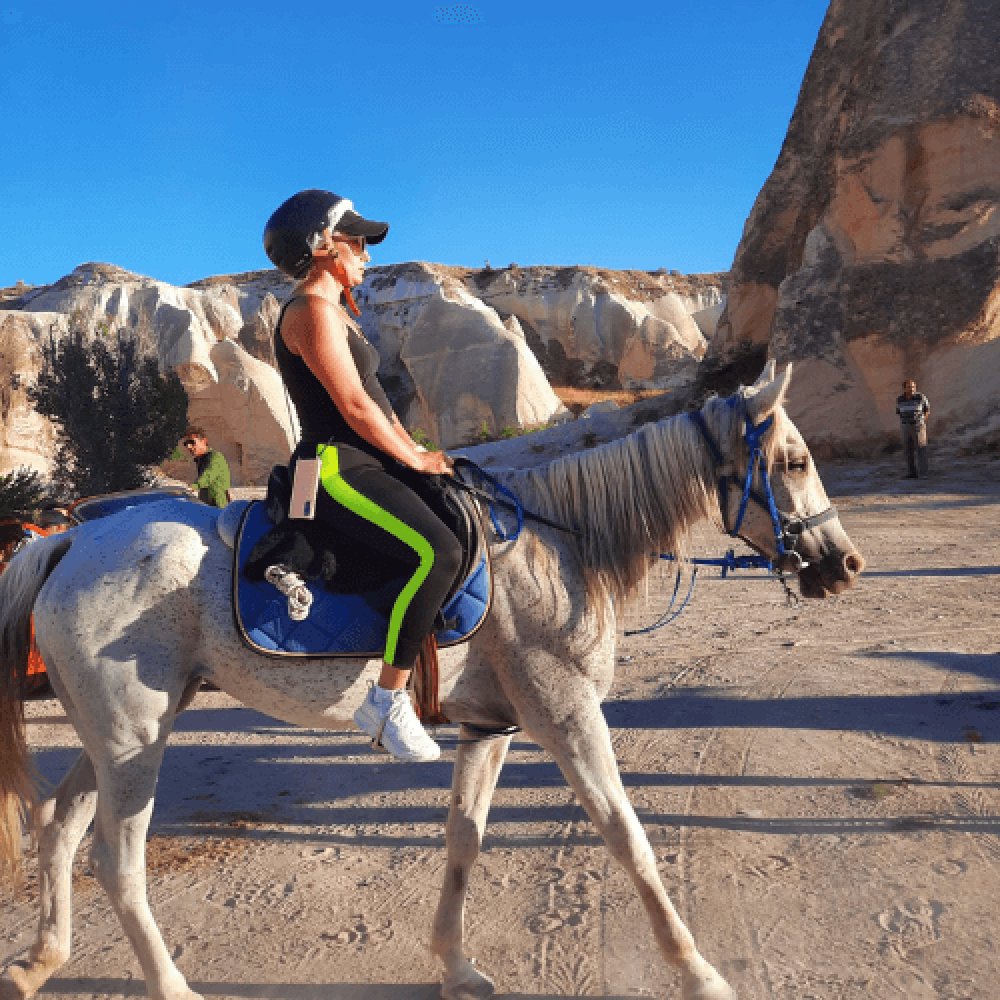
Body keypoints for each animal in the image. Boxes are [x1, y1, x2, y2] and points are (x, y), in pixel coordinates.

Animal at [0, 363, 863, 1000]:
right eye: (793, 463)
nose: (844, 564)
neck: (556, 547)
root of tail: (68, 541)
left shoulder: (492, 726)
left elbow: (463, 837)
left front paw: (454, 964)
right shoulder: (567, 715)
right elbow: (627, 837)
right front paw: (699, 973)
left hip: (113, 738)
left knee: (60, 826)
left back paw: (40, 961)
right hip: (135, 739)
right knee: (117, 860)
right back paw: (170, 986)